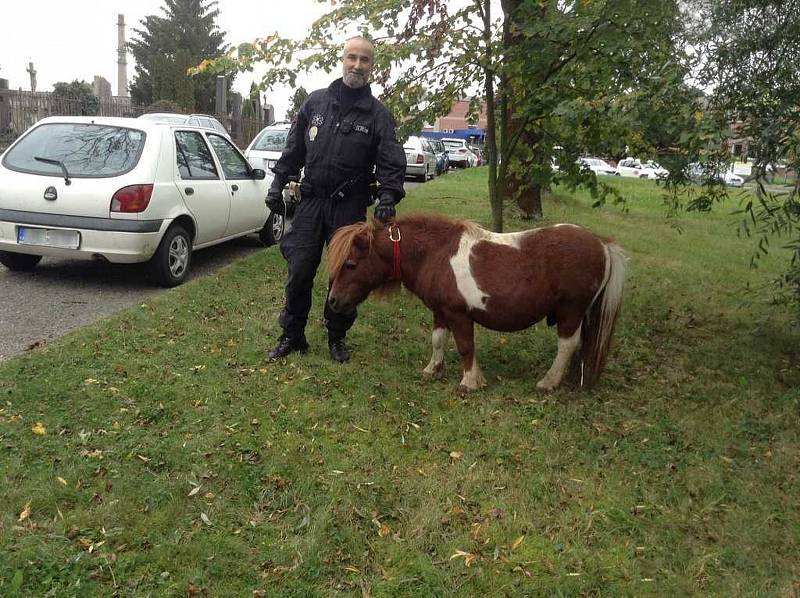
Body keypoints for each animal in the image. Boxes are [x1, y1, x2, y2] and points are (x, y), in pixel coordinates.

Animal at [324, 216, 624, 394]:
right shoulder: (440, 312)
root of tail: (601, 244)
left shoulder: (458, 315)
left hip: (570, 312)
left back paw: (549, 382)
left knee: (567, 345)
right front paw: (433, 369)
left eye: (350, 264)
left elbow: (466, 346)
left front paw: (470, 381)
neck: (436, 253)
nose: (334, 301)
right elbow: (437, 340)